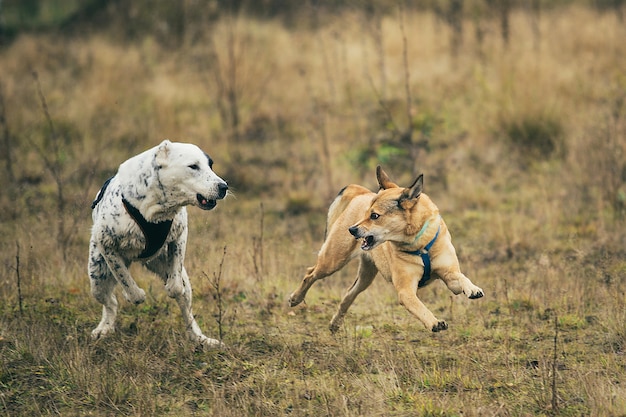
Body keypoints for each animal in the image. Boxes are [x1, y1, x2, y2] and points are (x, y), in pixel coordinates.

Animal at [288, 166, 482, 332]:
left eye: (374, 216)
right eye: (366, 214)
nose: (352, 229)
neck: (420, 245)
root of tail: (361, 193)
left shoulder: (449, 276)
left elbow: (460, 277)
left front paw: (472, 288)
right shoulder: (405, 291)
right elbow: (419, 306)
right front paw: (434, 322)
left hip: (365, 277)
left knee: (349, 294)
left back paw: (335, 323)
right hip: (332, 261)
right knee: (310, 273)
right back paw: (295, 298)